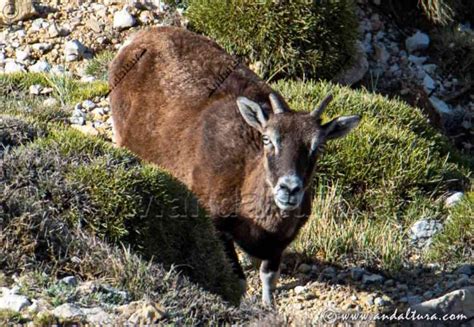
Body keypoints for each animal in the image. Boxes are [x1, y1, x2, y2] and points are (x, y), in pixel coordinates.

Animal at [107, 26, 360, 306]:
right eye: (267, 139)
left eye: (318, 146)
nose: (289, 189)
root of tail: (138, 39)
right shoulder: (217, 225)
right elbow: (238, 281)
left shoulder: (280, 243)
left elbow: (269, 278)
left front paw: (268, 307)